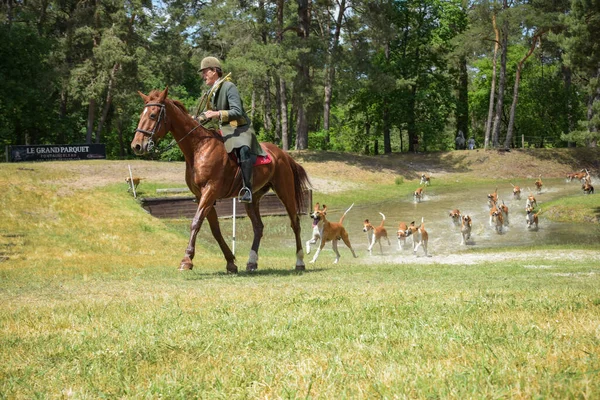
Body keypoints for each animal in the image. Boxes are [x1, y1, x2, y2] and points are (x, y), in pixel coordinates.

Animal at [129, 87, 312, 274]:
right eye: (142, 115)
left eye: (153, 115)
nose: (137, 146)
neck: (199, 148)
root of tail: (283, 154)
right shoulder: (201, 196)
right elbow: (215, 229)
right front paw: (230, 262)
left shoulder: (209, 191)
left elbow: (196, 223)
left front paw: (186, 260)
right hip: (252, 198)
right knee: (258, 227)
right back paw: (252, 262)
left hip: (285, 192)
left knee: (295, 223)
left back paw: (299, 262)